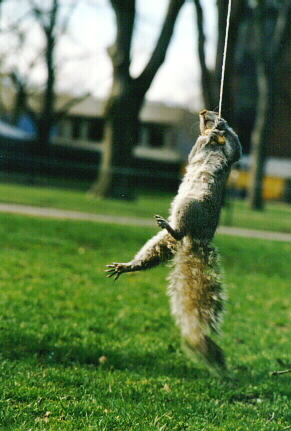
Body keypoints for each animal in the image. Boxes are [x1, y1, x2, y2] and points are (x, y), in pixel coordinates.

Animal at [105, 110, 242, 372]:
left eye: (214, 112)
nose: (203, 112)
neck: (214, 144)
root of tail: (196, 236)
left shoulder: (229, 157)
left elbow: (235, 151)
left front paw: (223, 128)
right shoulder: (196, 153)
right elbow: (194, 151)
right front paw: (208, 135)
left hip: (191, 205)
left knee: (177, 232)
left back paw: (169, 228)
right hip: (166, 237)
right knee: (154, 252)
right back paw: (129, 266)